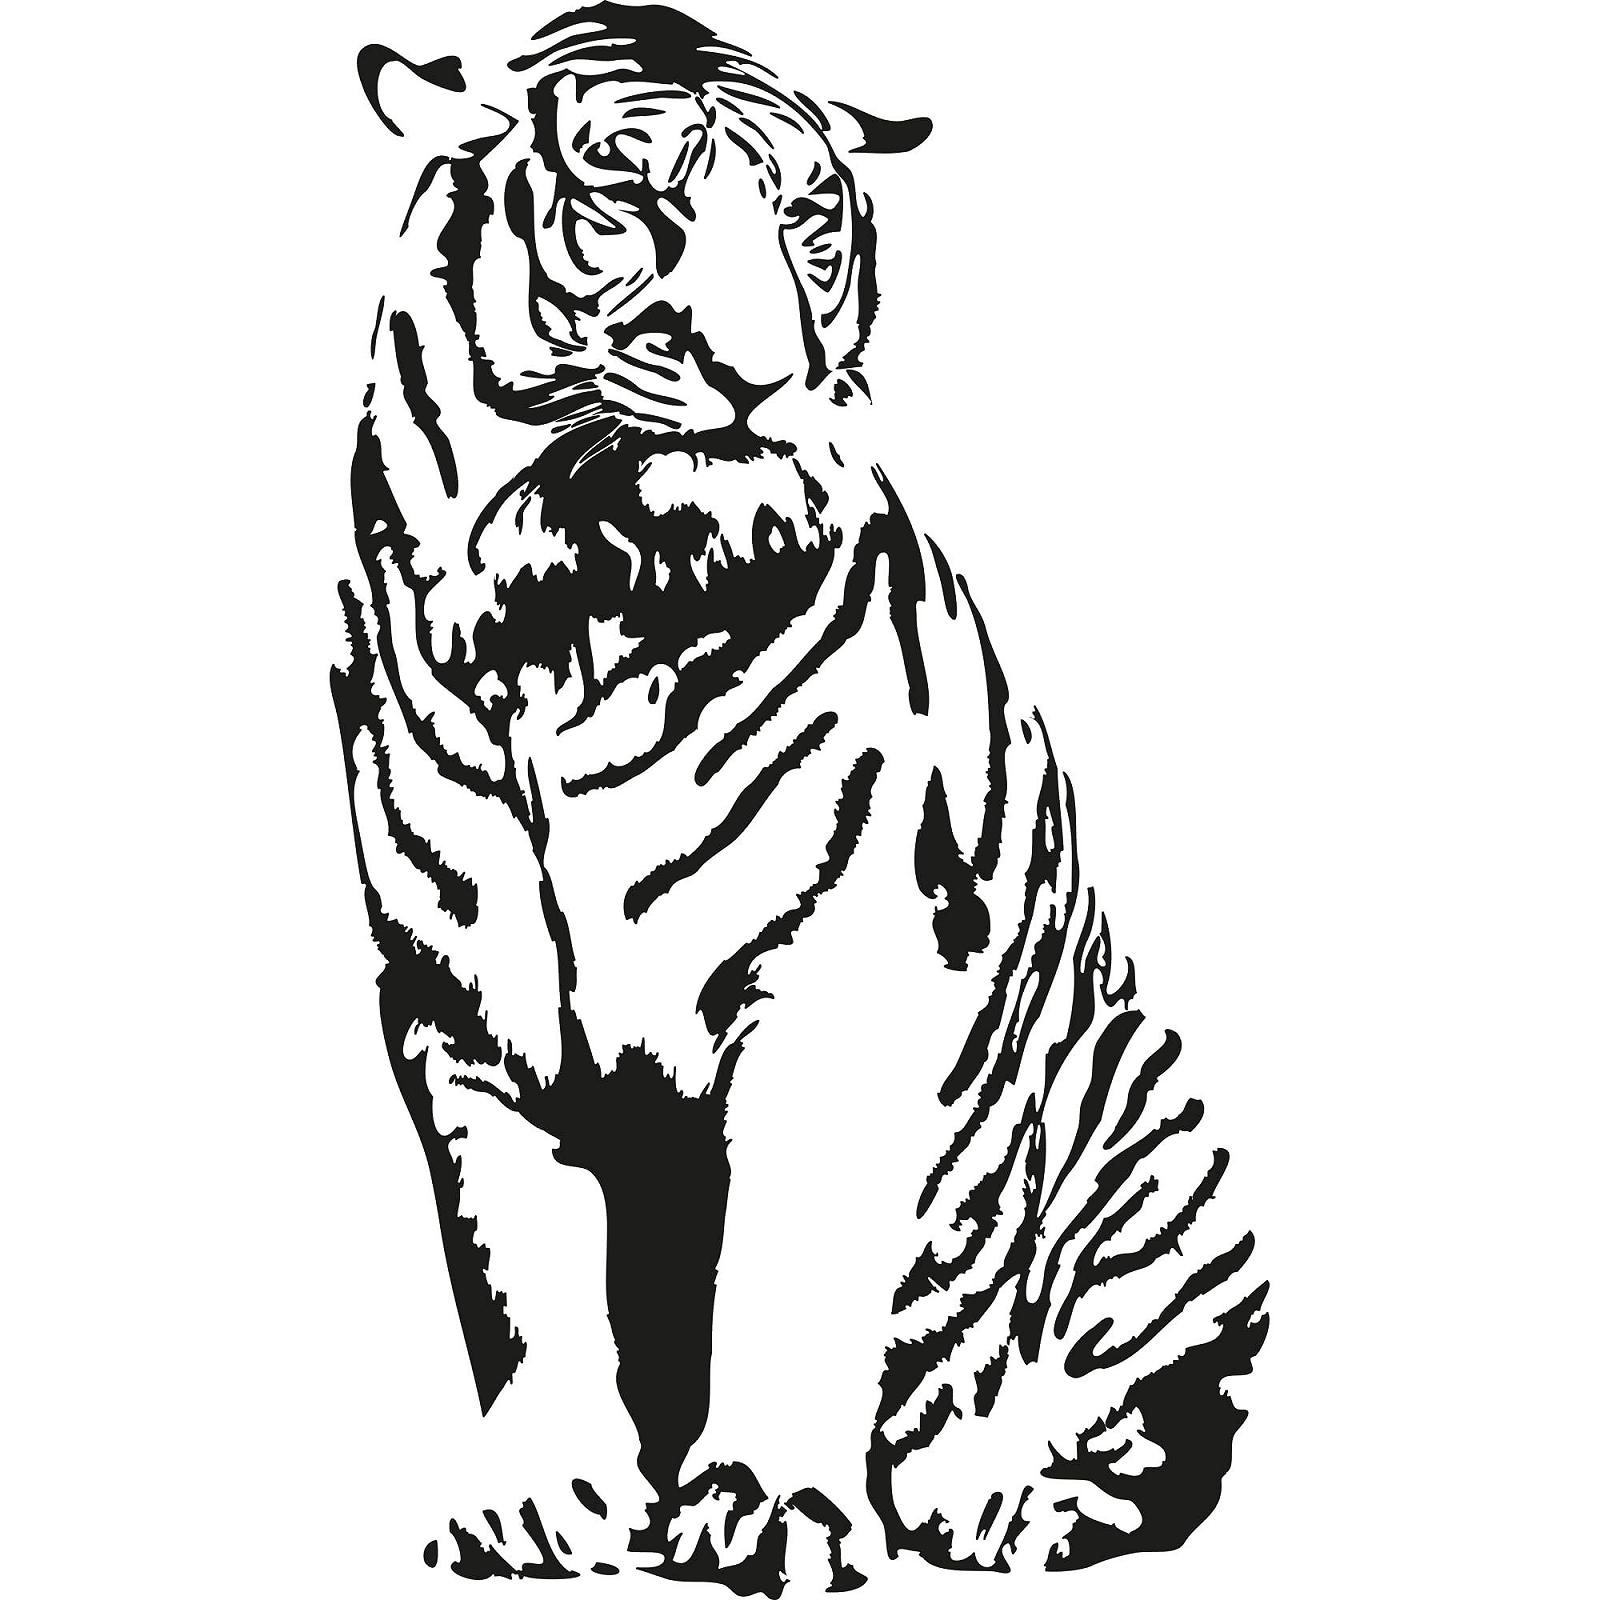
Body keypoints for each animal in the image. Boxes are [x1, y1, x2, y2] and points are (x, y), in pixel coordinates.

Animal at [331, 2, 1268, 1588]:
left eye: (806, 220)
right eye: (624, 194)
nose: (761, 378)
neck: (571, 606)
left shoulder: (839, 988)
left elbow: (782, 1265)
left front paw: (770, 1507)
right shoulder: (459, 1012)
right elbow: (514, 1262)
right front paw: (543, 1503)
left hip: (1158, 1169)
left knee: (1149, 1430)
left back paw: (996, 1492)